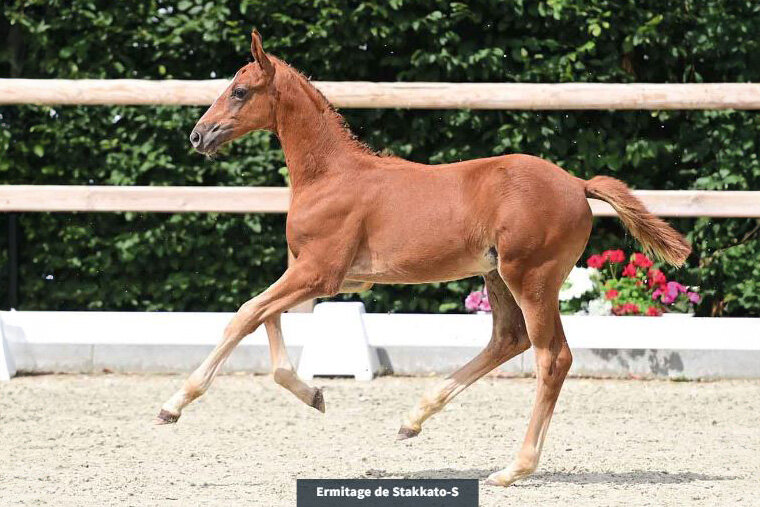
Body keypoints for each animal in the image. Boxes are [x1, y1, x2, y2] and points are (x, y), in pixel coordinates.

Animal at [156, 30, 691, 487]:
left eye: (240, 91)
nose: (198, 136)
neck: (330, 175)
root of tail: (577, 184)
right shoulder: (315, 273)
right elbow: (266, 319)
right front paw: (315, 395)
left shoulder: (319, 273)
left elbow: (245, 314)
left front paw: (172, 406)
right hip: (497, 276)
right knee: (508, 339)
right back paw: (413, 419)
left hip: (532, 277)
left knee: (552, 357)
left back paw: (512, 469)